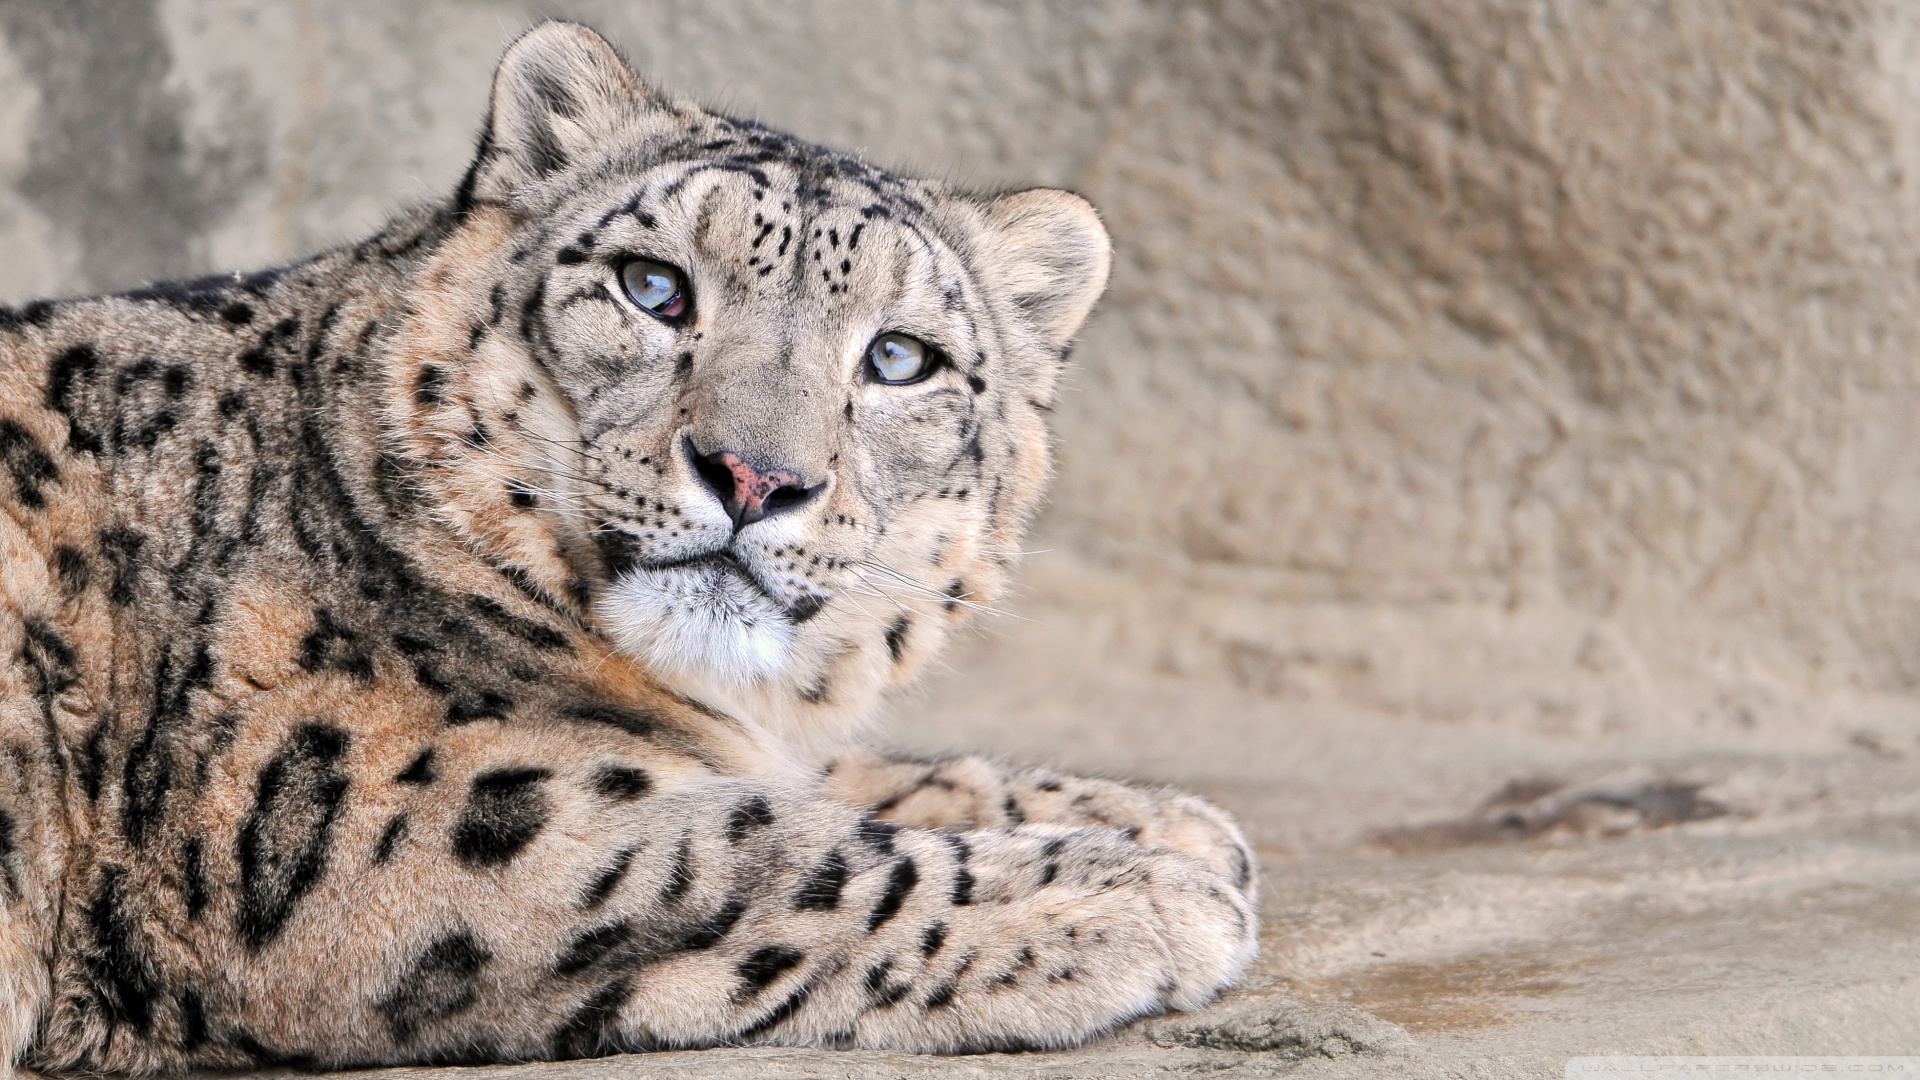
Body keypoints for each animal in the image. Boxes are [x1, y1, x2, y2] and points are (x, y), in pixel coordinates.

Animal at [0, 22, 1257, 1073]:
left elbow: (841, 779)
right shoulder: (370, 817)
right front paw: (1141, 889)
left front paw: (1163, 820)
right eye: (653, 286)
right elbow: (760, 850)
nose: (755, 476)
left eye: (900, 358)